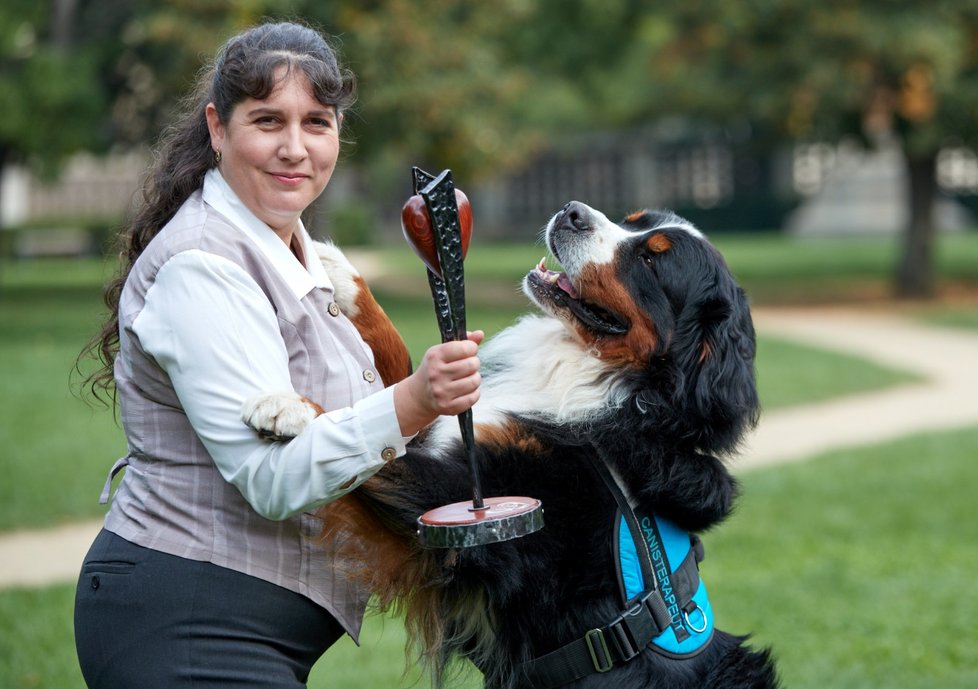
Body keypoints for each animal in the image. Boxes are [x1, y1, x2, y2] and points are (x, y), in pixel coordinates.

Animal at [242, 200, 776, 688]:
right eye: (632, 220)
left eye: (651, 260)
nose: (573, 212)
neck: (614, 384)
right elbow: (395, 385)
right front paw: (334, 267)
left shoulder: (457, 519)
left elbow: (374, 451)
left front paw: (288, 407)